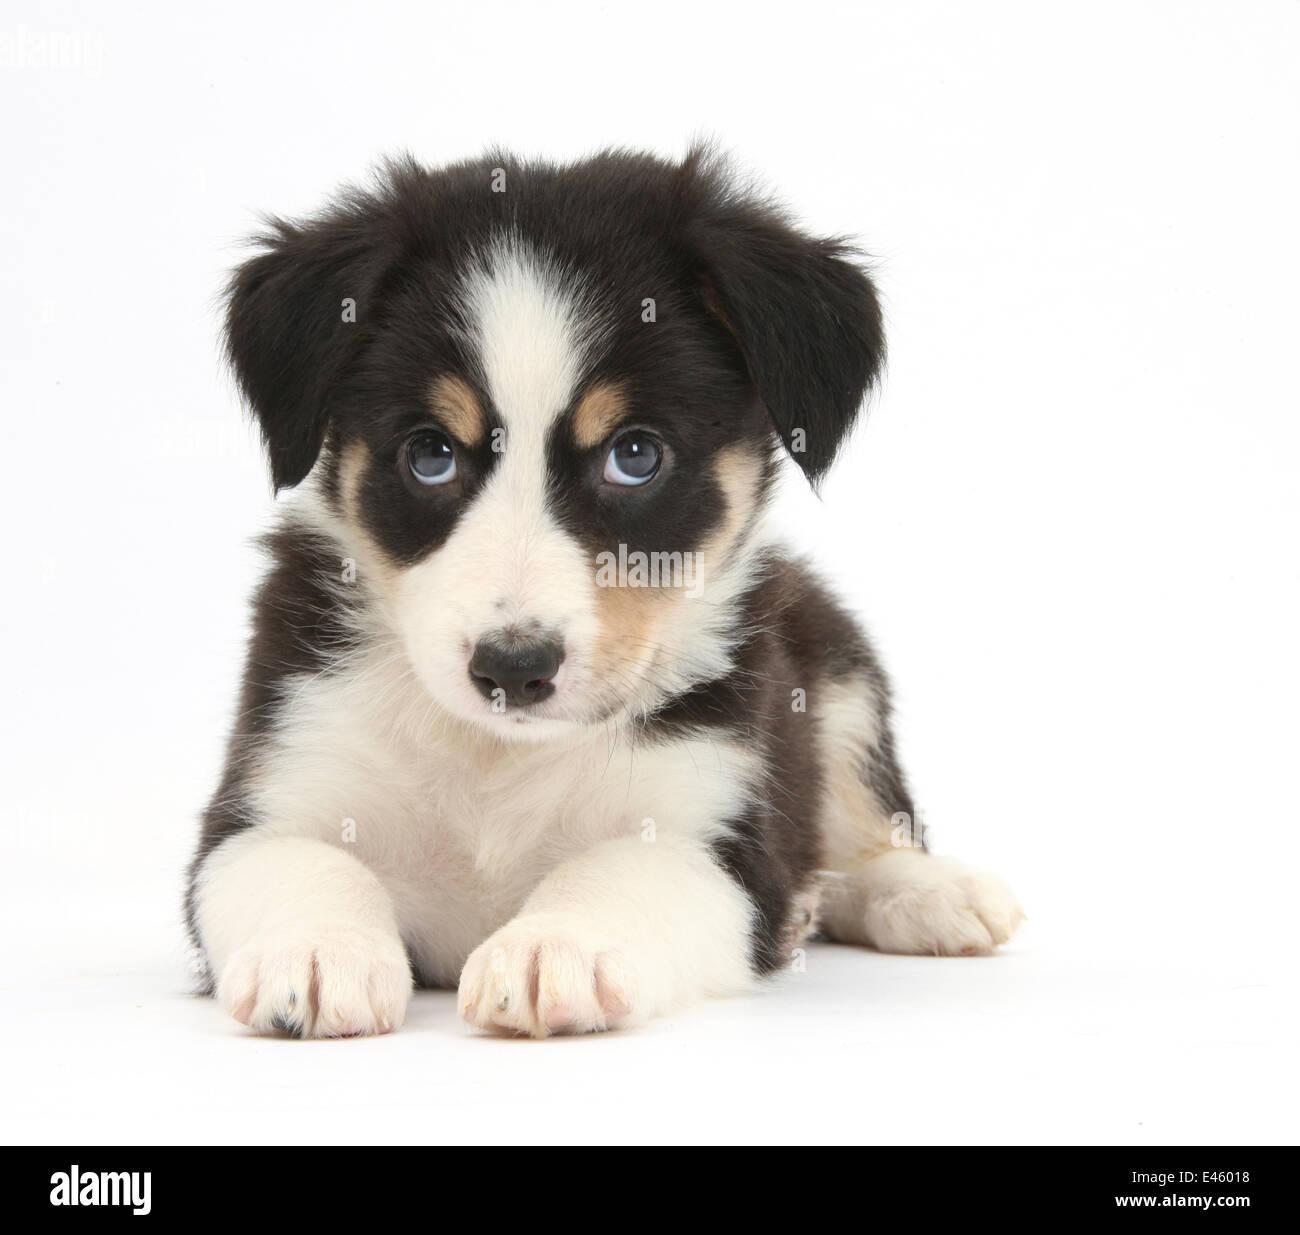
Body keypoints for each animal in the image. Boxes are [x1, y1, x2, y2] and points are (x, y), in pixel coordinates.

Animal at [188, 144, 1024, 1040]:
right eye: (430, 454)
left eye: (635, 454)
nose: (513, 669)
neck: (498, 759)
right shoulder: (269, 788)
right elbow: (299, 860)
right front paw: (315, 950)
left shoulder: (718, 836)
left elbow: (622, 866)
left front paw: (553, 944)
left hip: (838, 669)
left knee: (863, 823)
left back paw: (928, 890)